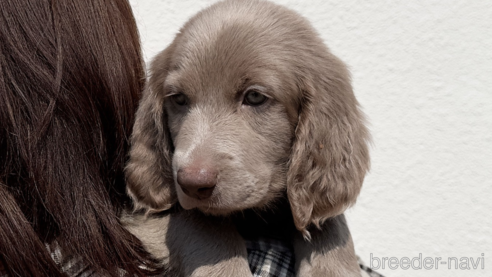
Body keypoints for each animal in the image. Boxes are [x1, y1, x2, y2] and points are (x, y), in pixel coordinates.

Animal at [123, 1, 368, 274]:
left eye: (255, 97)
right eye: (178, 98)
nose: (192, 183)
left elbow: (330, 227)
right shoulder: (143, 214)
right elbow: (205, 225)